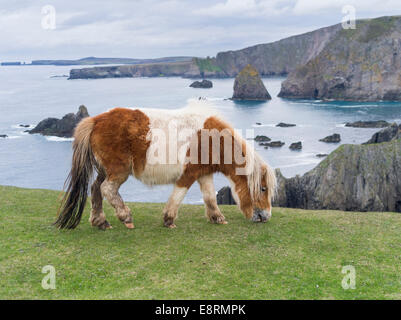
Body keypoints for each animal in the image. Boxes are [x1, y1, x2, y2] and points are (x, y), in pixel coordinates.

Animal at [55, 100, 276, 230]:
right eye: (263, 189)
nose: (265, 216)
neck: (211, 139)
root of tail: (96, 120)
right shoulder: (188, 174)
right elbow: (178, 196)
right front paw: (169, 219)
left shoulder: (203, 173)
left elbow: (209, 197)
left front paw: (217, 218)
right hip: (118, 171)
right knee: (107, 189)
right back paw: (125, 217)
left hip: (104, 169)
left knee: (95, 189)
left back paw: (100, 221)